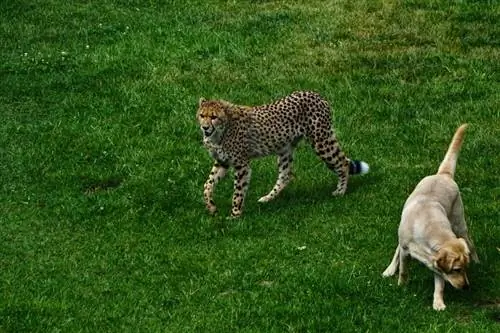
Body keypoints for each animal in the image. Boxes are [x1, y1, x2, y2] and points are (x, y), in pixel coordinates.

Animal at [197, 89, 370, 217]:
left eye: (213, 117)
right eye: (202, 115)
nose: (204, 127)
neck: (219, 132)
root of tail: (316, 94)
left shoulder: (241, 165)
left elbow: (238, 192)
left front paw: (235, 215)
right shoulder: (222, 162)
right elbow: (207, 184)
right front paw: (211, 207)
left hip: (321, 142)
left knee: (343, 162)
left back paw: (340, 191)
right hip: (285, 149)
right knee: (286, 175)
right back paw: (267, 198)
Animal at [384, 123, 478, 310]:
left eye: (465, 268)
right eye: (457, 269)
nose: (466, 287)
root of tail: (443, 174)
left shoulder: (437, 266)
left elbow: (439, 286)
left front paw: (438, 303)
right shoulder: (406, 252)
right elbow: (404, 270)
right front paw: (401, 286)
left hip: (459, 224)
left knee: (470, 242)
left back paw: (477, 259)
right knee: (397, 248)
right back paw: (390, 269)